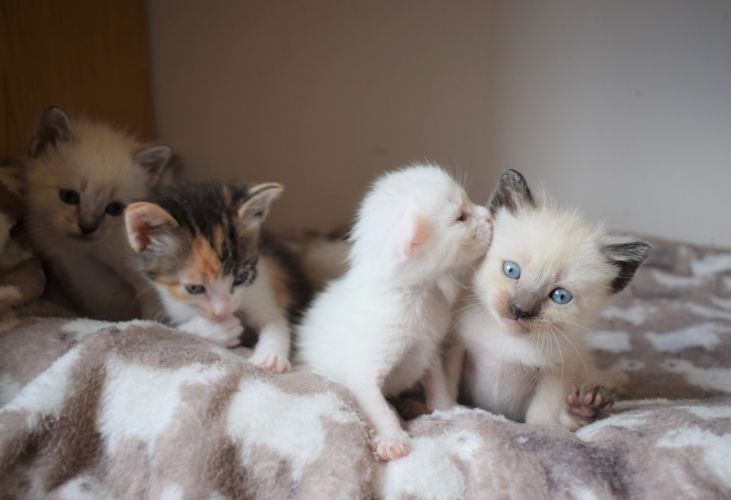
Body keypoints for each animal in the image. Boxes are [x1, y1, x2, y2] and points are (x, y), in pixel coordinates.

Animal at [23, 106, 176, 320]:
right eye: (69, 196)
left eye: (114, 208)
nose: (87, 228)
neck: (81, 251)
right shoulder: (67, 275)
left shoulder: (142, 273)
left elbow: (153, 309)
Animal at [124, 182, 312, 373]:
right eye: (194, 288)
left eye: (241, 277)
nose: (222, 312)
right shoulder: (174, 306)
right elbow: (172, 331)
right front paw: (217, 330)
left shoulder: (265, 283)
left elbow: (275, 321)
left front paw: (271, 357)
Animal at [296, 164, 492, 461]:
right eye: (461, 217)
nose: (491, 215)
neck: (414, 296)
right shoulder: (364, 369)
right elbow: (376, 404)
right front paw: (393, 437)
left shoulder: (428, 349)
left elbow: (436, 381)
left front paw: (445, 408)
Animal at [447, 169, 652, 430]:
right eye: (511, 270)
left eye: (560, 296)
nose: (519, 310)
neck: (507, 340)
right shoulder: (457, 348)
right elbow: (449, 391)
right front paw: (447, 412)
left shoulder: (555, 373)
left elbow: (543, 417)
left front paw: (541, 433)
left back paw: (587, 406)